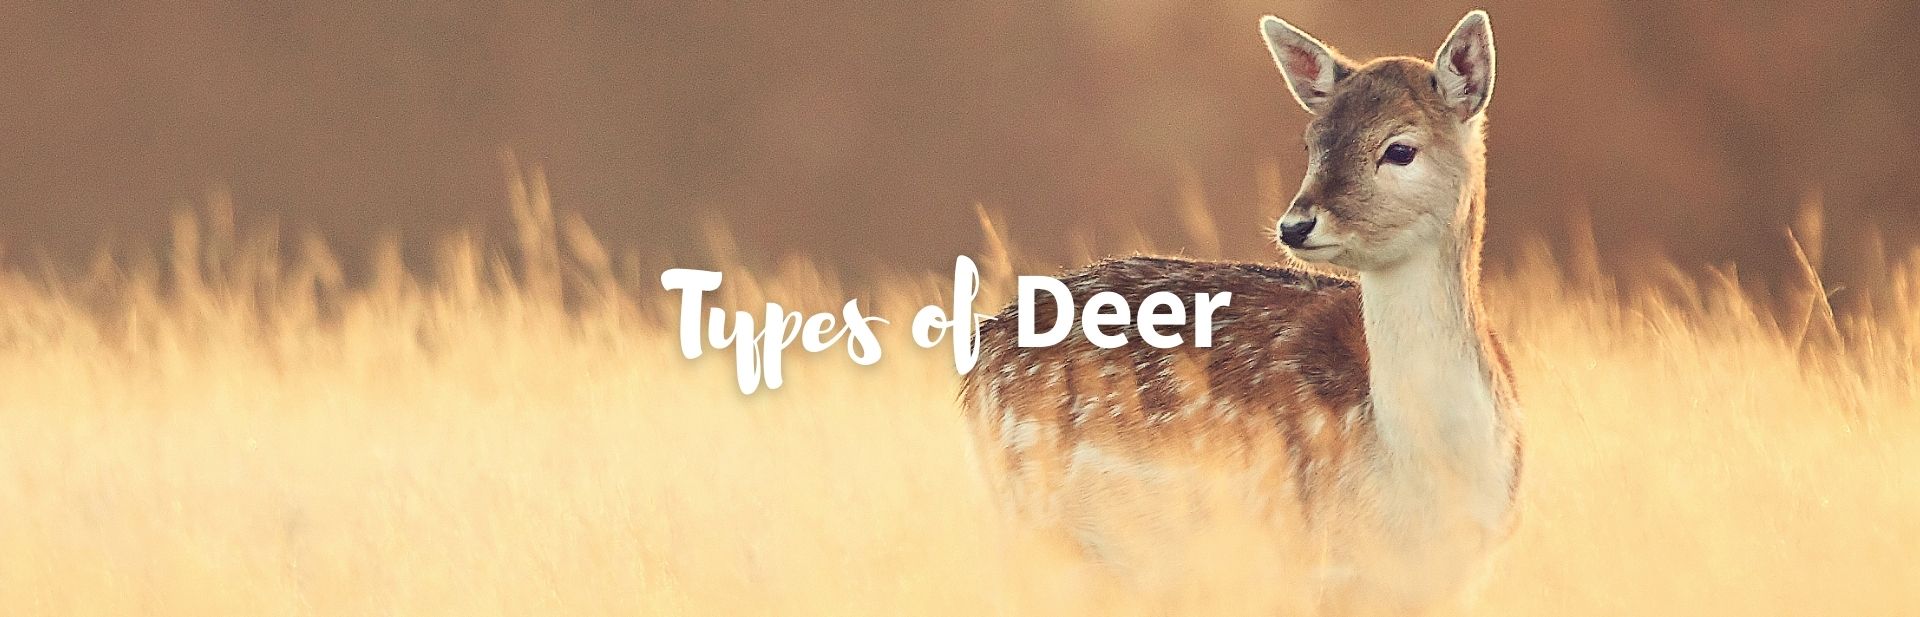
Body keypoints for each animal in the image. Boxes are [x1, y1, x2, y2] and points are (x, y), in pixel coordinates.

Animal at [962, 10, 1521, 615]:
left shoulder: (1462, 574)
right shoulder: (1307, 557)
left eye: (1400, 149)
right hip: (1032, 515)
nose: (1295, 225)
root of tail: (981, 348)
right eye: (1311, 143)